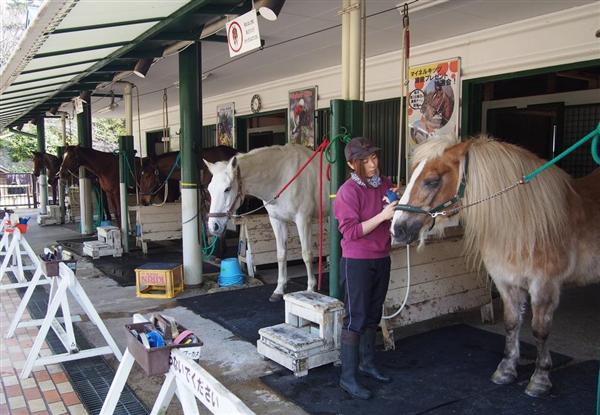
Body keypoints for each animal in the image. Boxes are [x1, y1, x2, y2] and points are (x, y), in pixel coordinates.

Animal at [205, 145, 328, 300]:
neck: (283, 177)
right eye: (209, 189)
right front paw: (279, 289)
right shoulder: (277, 220)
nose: (213, 226)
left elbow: (307, 254)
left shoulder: (303, 220)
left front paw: (310, 289)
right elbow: (281, 254)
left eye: (227, 189)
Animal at [390, 136, 600, 396]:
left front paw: (540, 379)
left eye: (432, 181)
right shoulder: (506, 283)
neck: (523, 222)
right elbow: (511, 324)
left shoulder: (544, 286)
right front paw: (506, 370)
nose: (397, 229)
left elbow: (539, 330)